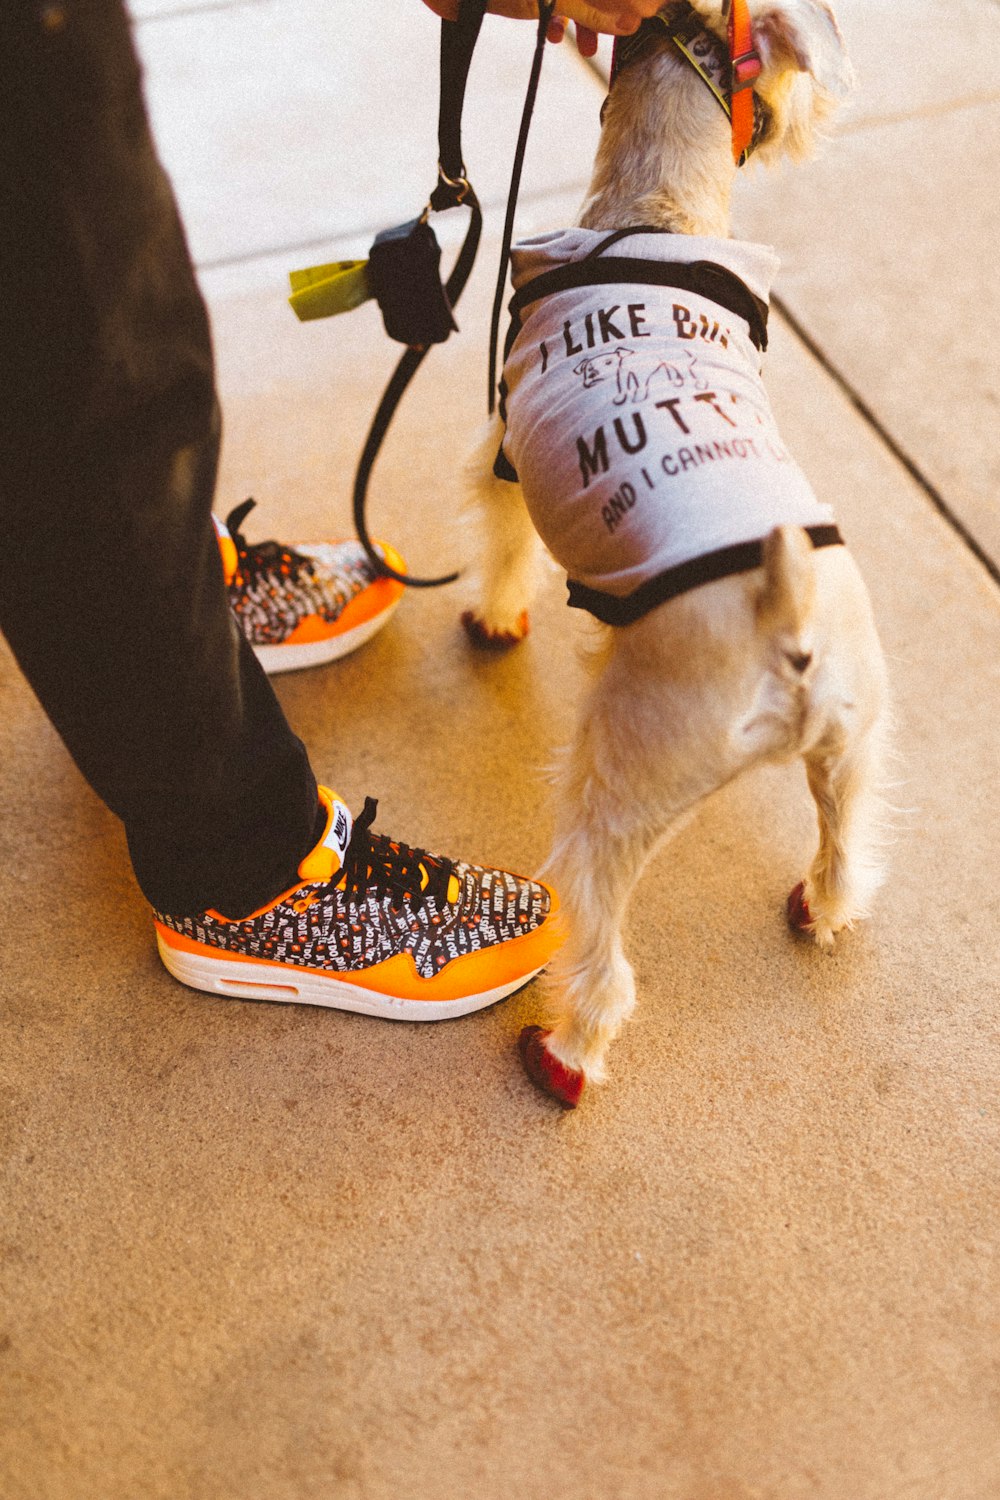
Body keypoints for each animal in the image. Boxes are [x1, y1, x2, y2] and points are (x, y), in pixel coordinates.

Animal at [464, 0, 893, 1104]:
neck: (657, 209)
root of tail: (786, 627)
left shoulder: (502, 456)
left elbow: (500, 541)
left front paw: (492, 616)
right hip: (853, 741)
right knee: (843, 844)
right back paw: (821, 911)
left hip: (614, 793)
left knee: (603, 953)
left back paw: (566, 1056)